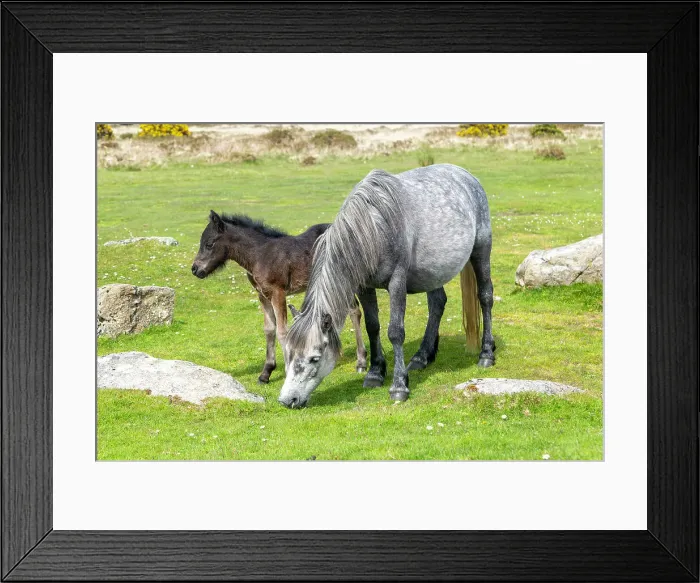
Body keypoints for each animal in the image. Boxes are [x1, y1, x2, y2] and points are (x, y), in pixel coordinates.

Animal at [191, 211, 367, 383]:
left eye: (209, 244)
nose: (195, 269)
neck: (260, 255)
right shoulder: (262, 295)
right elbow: (269, 329)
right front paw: (266, 372)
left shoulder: (278, 293)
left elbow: (282, 332)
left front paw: (288, 369)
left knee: (354, 312)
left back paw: (361, 362)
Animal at [279, 163, 495, 408]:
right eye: (288, 352)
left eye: (314, 358)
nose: (287, 400)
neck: (374, 228)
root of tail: (466, 175)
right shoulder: (364, 287)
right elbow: (372, 326)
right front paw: (375, 373)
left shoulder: (397, 283)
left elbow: (395, 332)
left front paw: (399, 385)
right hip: (433, 273)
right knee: (437, 304)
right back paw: (422, 357)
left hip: (481, 251)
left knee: (485, 296)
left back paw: (486, 354)